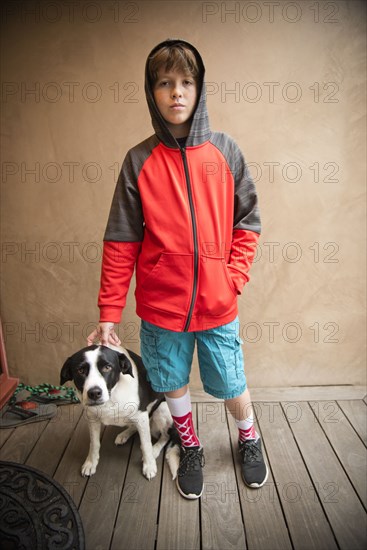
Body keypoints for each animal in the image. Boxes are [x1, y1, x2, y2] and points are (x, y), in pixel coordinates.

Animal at [60, 348, 180, 480]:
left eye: (107, 367)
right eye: (80, 370)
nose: (94, 393)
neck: (111, 396)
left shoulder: (141, 415)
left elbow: (146, 444)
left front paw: (149, 465)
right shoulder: (92, 418)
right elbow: (94, 443)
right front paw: (91, 463)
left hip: (162, 409)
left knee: (165, 436)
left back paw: (154, 450)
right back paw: (124, 434)